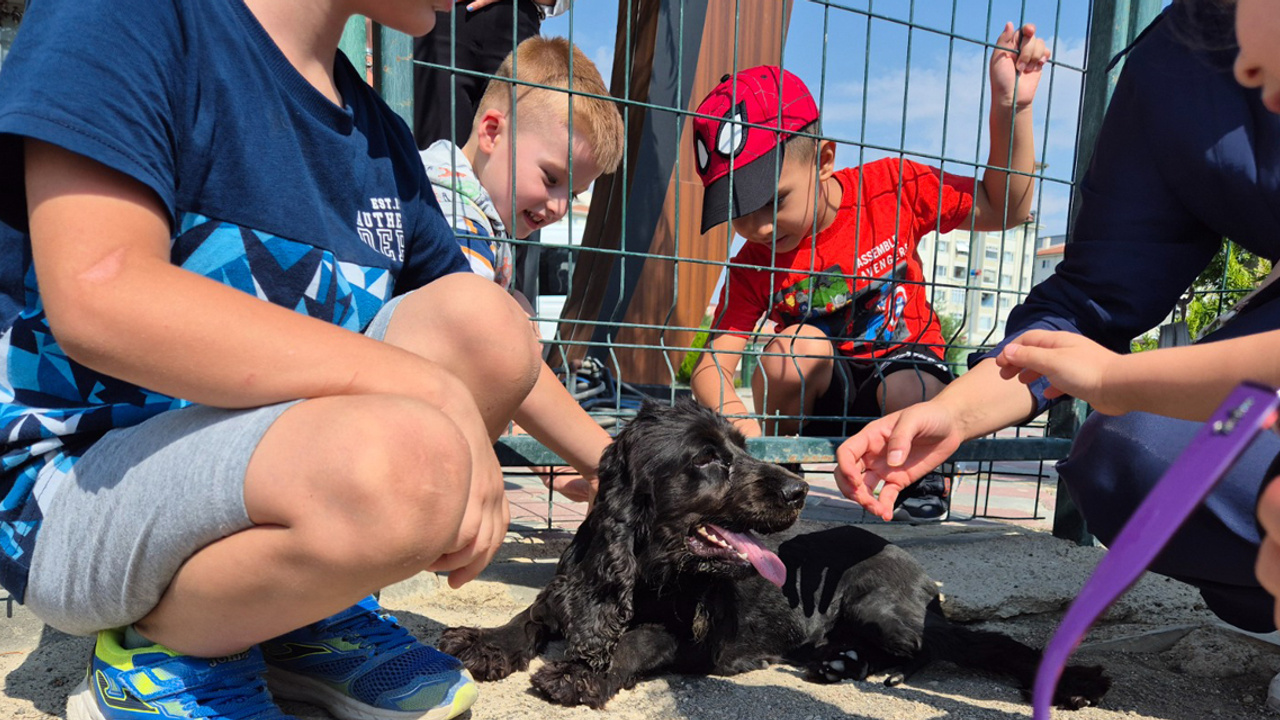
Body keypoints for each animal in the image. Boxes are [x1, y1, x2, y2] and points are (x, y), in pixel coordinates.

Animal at [442, 397, 1111, 707]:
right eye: (709, 459)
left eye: (741, 447)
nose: (798, 490)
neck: (650, 569)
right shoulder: (573, 588)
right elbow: (527, 617)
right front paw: (483, 642)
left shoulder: (690, 638)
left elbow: (640, 639)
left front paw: (582, 674)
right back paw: (842, 661)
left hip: (877, 604)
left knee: (935, 645)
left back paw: (883, 668)